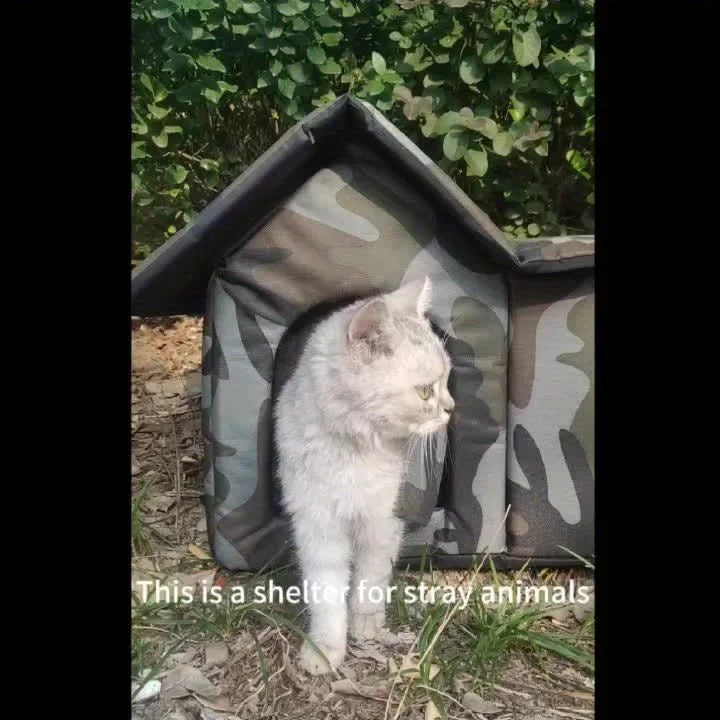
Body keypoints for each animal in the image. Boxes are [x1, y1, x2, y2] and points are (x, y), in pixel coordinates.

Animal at [272, 278, 452, 676]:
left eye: (448, 379)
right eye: (424, 391)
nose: (451, 408)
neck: (353, 453)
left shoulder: (383, 521)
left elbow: (371, 577)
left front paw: (366, 624)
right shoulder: (317, 525)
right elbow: (325, 593)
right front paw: (326, 648)